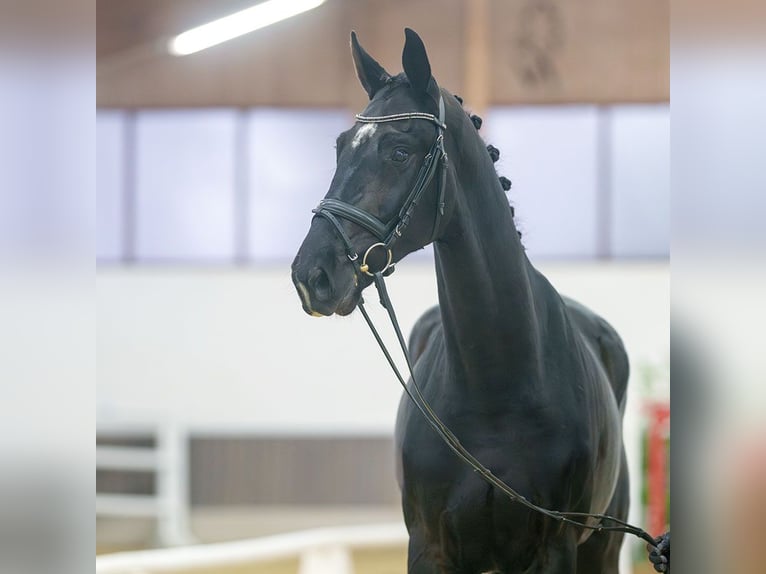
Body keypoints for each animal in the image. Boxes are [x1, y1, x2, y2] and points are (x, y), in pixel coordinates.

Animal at [294, 30, 632, 574]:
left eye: (399, 151)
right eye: (342, 146)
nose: (312, 275)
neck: (496, 384)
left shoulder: (553, 550)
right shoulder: (430, 546)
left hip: (602, 546)